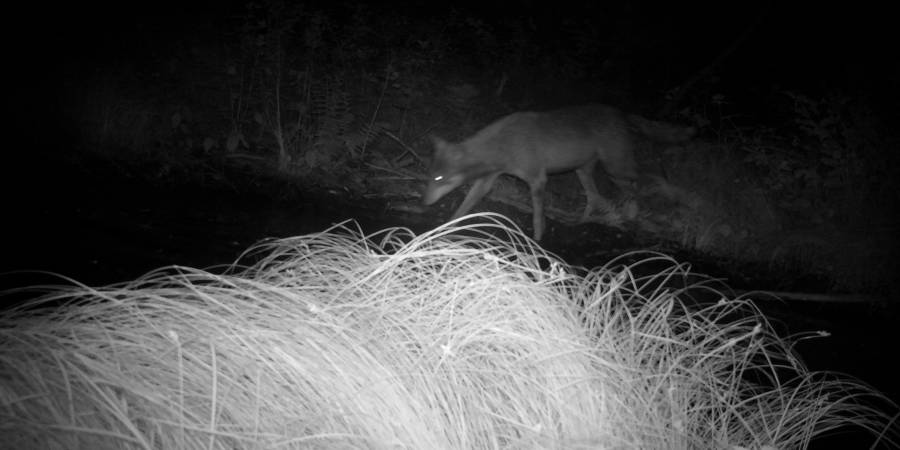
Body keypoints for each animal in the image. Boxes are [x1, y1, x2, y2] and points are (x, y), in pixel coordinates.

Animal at [424, 104, 696, 241]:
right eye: (430, 178)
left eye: (439, 179)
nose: (423, 201)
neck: (504, 145)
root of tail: (619, 112)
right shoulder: (487, 182)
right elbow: (463, 207)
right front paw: (443, 228)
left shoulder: (537, 180)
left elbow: (538, 217)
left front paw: (537, 241)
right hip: (584, 172)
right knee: (595, 198)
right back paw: (581, 223)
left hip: (616, 169)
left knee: (641, 184)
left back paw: (636, 212)